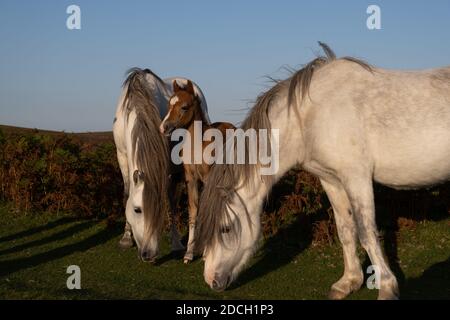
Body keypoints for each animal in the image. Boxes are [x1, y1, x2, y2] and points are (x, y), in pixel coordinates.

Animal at [112, 68, 211, 262]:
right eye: (137, 210)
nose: (148, 254)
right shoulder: (122, 155)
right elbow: (127, 193)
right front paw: (126, 237)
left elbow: (169, 201)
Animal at [196, 43, 450, 300]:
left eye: (225, 228)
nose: (211, 280)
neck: (311, 118)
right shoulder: (332, 181)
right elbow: (345, 230)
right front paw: (348, 282)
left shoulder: (356, 178)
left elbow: (366, 232)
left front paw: (387, 287)